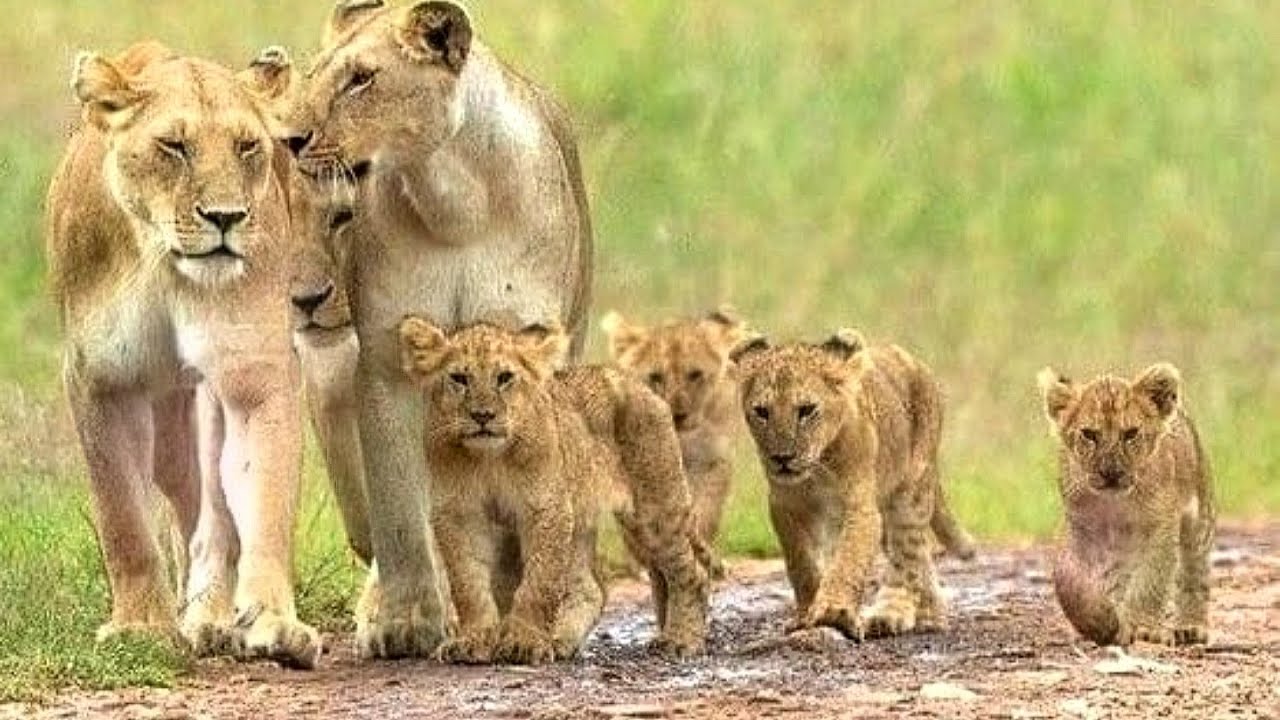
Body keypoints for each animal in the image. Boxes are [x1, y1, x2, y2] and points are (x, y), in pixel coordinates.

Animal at [47, 43, 319, 667]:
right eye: (173, 146)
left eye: (247, 146)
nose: (225, 218)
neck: (163, 262)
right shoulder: (101, 381)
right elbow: (121, 514)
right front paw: (140, 627)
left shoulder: (254, 373)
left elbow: (262, 498)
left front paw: (271, 622)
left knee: (212, 515)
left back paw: (211, 616)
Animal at [259, 0, 594, 658]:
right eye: (317, 74)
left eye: (362, 79)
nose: (290, 138)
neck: (455, 202)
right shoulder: (387, 365)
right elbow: (400, 511)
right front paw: (406, 620)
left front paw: (527, 620)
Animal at [398, 318, 710, 662]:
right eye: (459, 378)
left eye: (504, 378)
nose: (482, 416)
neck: (488, 458)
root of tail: (640, 385)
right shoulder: (459, 515)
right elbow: (468, 585)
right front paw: (474, 639)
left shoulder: (545, 507)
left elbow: (539, 581)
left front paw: (525, 642)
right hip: (581, 514)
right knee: (592, 588)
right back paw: (561, 639)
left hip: (655, 509)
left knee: (692, 574)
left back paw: (681, 640)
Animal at [731, 330, 961, 639]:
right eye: (762, 411)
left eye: (806, 410)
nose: (782, 458)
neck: (816, 471)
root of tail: (915, 362)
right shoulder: (785, 507)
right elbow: (801, 563)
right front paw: (806, 613)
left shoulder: (861, 508)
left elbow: (848, 561)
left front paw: (834, 613)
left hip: (909, 495)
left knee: (908, 556)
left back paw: (902, 616)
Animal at [1038, 364, 1215, 646]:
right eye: (1089, 434)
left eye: (1130, 434)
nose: (1111, 473)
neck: (1115, 505)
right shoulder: (1078, 528)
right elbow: (1067, 579)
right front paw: (1102, 621)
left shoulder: (1161, 526)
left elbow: (1151, 579)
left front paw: (1141, 627)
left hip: (1199, 520)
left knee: (1193, 572)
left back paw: (1190, 626)